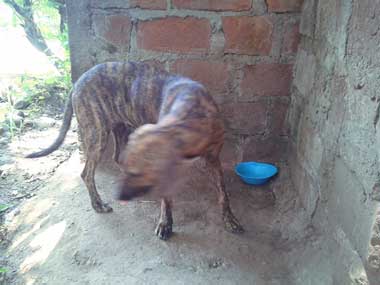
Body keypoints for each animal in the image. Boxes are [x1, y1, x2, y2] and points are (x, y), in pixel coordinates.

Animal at [28, 61, 245, 239]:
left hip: (121, 130)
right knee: (87, 173)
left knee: (116, 158)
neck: (191, 115)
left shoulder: (213, 159)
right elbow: (167, 198)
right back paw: (98, 204)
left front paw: (230, 219)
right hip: (98, 134)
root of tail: (77, 82)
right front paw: (165, 223)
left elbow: (223, 192)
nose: (120, 196)